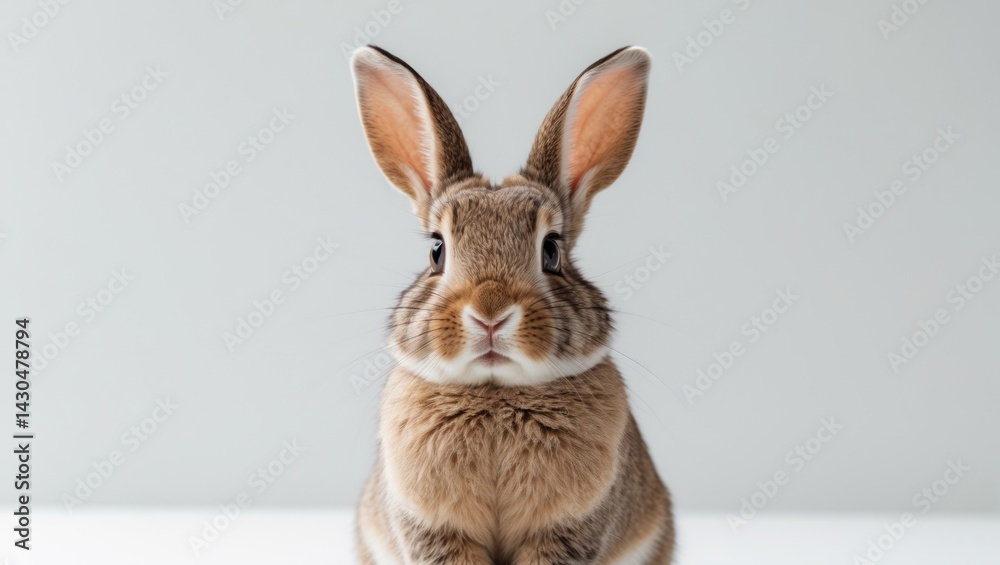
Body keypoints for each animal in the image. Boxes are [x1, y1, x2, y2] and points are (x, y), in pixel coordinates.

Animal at [350, 44, 674, 564]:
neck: (495, 392)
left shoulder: (566, 530)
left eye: (552, 251)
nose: (490, 313)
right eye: (436, 250)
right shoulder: (436, 531)